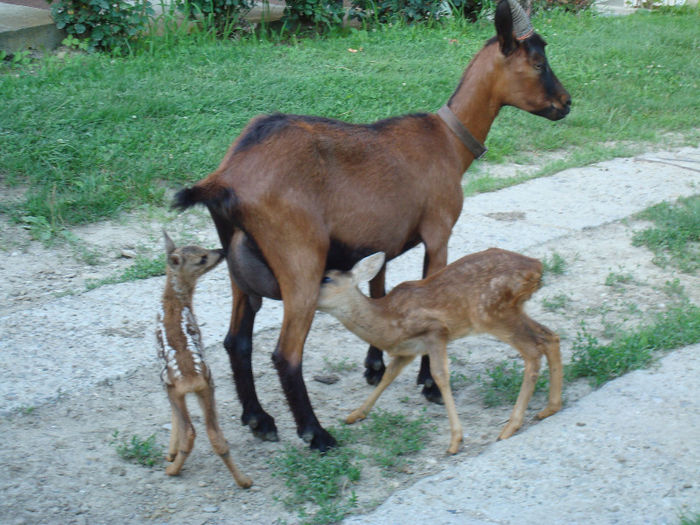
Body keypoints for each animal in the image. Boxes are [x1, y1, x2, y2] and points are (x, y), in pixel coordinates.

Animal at [156, 233, 252, 488]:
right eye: (201, 258)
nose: (221, 251)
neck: (174, 304)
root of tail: (192, 379)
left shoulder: (164, 381)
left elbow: (173, 417)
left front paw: (170, 453)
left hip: (176, 387)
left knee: (191, 431)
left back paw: (172, 469)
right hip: (208, 386)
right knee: (216, 435)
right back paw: (244, 480)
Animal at [318, 248, 564, 452]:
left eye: (327, 278)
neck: (389, 322)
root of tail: (537, 267)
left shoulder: (435, 332)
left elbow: (440, 375)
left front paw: (455, 440)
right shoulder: (409, 350)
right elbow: (389, 375)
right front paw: (355, 414)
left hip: (491, 314)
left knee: (533, 352)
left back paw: (510, 427)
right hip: (513, 311)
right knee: (549, 337)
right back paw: (550, 408)